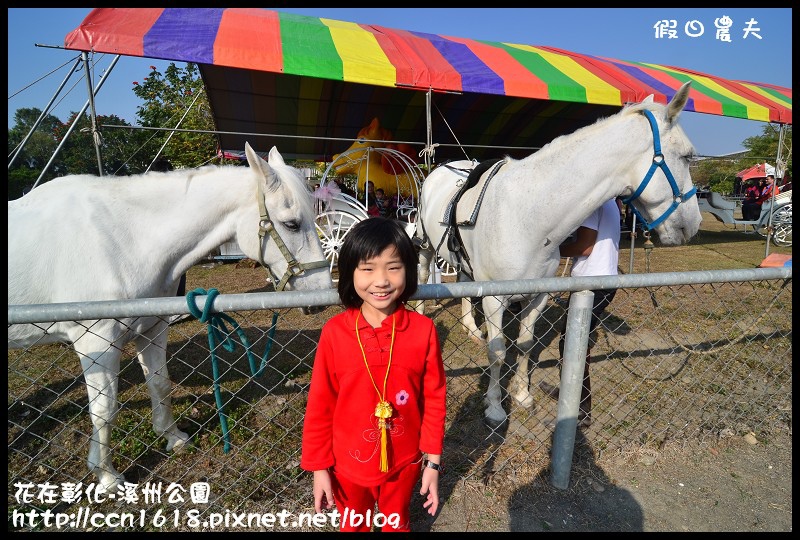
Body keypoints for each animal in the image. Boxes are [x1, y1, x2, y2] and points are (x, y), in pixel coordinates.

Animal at [7, 142, 332, 490]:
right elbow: (104, 410)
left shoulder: (151, 328)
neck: (123, 240)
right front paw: (106, 475)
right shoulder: (96, 342)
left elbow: (159, 384)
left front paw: (171, 436)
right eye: (291, 223)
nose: (321, 294)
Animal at [416, 82, 704, 424]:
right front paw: (495, 407)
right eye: (686, 156)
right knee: (423, 272)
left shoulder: (537, 296)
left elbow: (525, 345)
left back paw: (472, 330)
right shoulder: (495, 299)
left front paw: (522, 395)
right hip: (425, 244)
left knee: (463, 280)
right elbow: (498, 353)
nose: (694, 223)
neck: (528, 215)